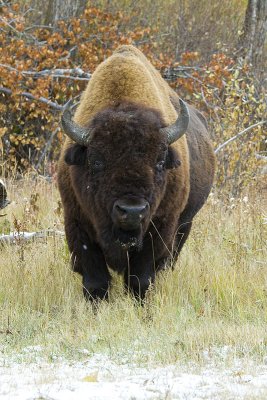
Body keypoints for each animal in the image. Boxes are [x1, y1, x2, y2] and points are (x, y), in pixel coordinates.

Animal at [57, 45, 217, 300]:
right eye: (96, 161)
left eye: (160, 161)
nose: (132, 211)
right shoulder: (77, 222)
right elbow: (95, 280)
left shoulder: (160, 226)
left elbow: (140, 278)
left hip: (186, 223)